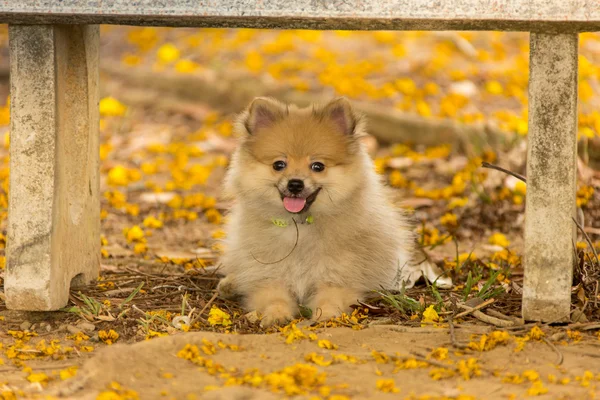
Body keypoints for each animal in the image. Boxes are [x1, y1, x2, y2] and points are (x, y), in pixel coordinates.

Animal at [218, 98, 448, 326]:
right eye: (279, 165)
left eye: (317, 166)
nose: (295, 184)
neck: (300, 227)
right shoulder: (268, 275)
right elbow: (274, 297)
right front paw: (276, 314)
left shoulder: (338, 278)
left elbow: (330, 298)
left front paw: (325, 314)